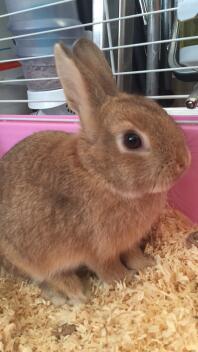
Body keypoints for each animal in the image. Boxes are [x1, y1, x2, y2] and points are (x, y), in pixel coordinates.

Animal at [0, 37, 190, 302]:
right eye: (132, 140)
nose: (185, 161)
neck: (98, 175)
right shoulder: (98, 250)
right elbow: (108, 269)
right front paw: (126, 281)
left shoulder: (127, 243)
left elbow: (132, 254)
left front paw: (147, 264)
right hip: (26, 257)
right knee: (49, 277)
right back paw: (77, 293)